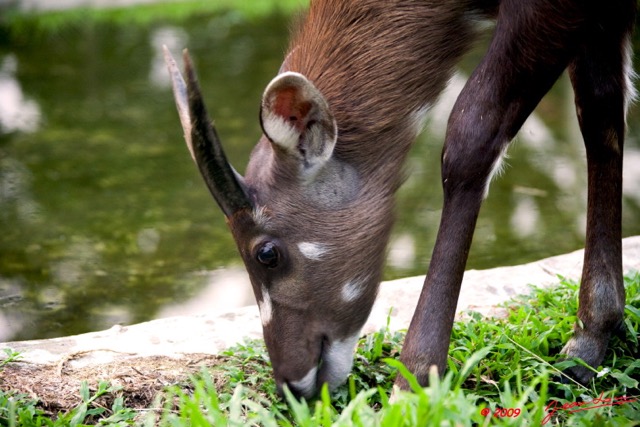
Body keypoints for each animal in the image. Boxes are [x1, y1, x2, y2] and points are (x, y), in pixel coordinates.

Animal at [164, 0, 636, 400]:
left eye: (266, 253)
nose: (291, 384)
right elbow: (600, 110)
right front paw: (588, 342)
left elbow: (471, 131)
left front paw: (413, 379)